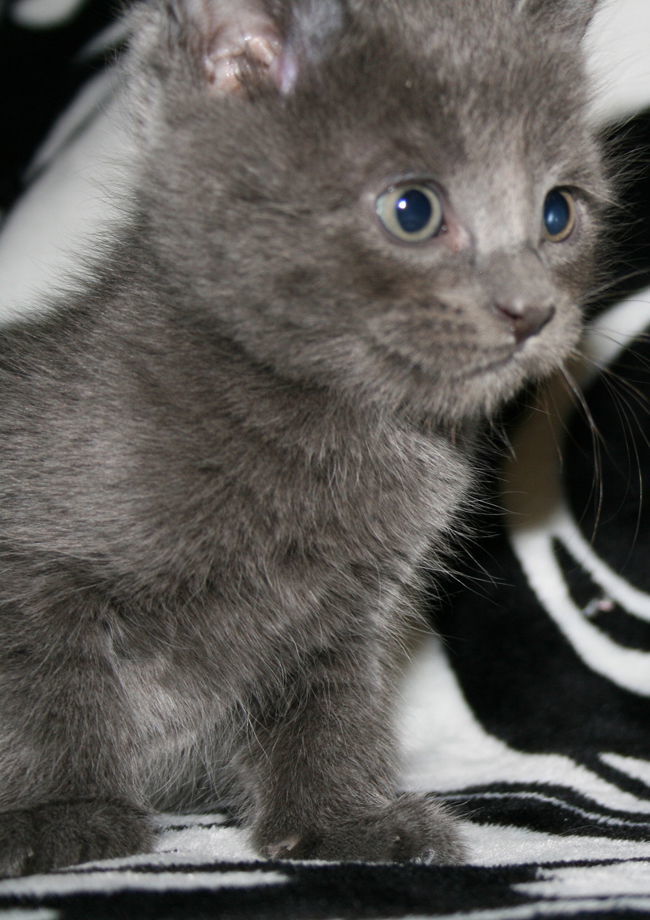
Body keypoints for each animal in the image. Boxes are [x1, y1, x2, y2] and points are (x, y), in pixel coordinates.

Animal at [0, 0, 604, 876]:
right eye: (414, 209)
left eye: (558, 212)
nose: (532, 310)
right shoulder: (33, 566)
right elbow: (44, 687)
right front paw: (59, 812)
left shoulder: (349, 612)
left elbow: (330, 711)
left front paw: (345, 821)